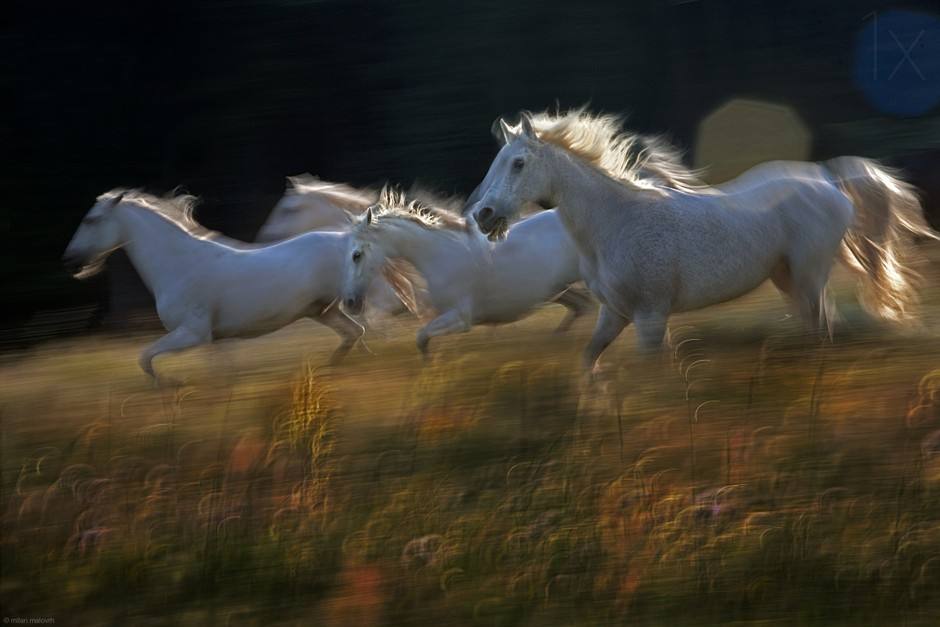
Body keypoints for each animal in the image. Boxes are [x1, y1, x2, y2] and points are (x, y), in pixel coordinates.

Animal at [60, 190, 370, 378]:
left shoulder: (193, 333)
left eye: (90, 220)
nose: (70, 260)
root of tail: (349, 238)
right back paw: (337, 367)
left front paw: (169, 387)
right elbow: (221, 374)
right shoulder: (216, 340)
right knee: (355, 333)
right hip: (323, 310)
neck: (180, 265)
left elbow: (145, 359)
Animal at [342, 186, 592, 356]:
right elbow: (423, 341)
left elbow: (421, 338)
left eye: (356, 255)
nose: (350, 303)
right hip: (562, 289)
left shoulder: (461, 319)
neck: (438, 256)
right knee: (581, 308)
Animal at [474, 110, 936, 370]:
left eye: (518, 163)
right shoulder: (615, 313)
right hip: (787, 278)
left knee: (822, 329)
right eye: (498, 161)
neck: (616, 220)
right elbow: (589, 363)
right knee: (820, 328)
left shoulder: (650, 315)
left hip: (809, 276)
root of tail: (826, 177)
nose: (483, 215)